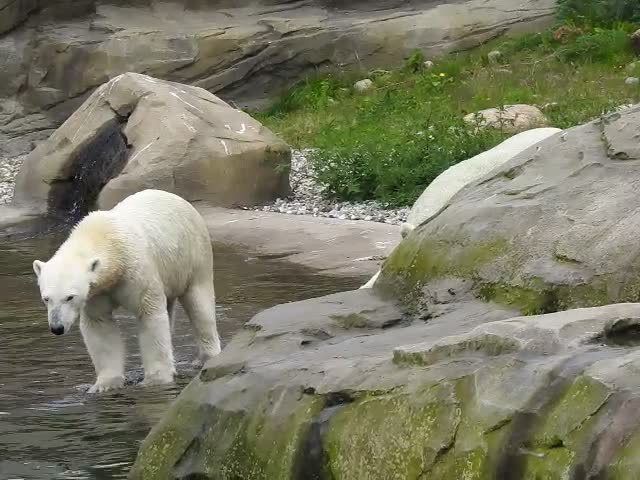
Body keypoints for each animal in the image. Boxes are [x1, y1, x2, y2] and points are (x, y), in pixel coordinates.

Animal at [32, 189, 222, 392]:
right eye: (46, 298)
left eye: (70, 297)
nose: (57, 328)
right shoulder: (96, 293)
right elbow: (100, 326)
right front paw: (104, 384)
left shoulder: (135, 271)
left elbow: (150, 316)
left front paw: (156, 379)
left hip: (193, 254)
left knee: (199, 305)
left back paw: (205, 357)